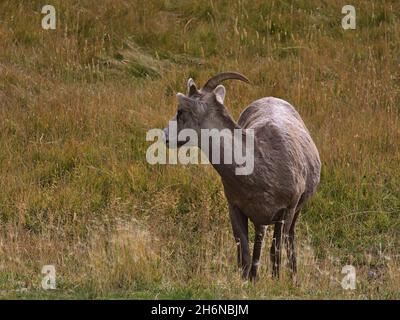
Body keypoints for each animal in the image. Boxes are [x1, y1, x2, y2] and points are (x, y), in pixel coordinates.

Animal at [163, 73, 322, 280]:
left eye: (180, 111)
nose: (165, 136)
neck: (260, 170)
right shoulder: (236, 210)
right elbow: (244, 255)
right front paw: (248, 281)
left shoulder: (286, 211)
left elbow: (275, 251)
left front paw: (276, 281)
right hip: (261, 220)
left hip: (294, 214)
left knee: (289, 239)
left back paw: (294, 277)